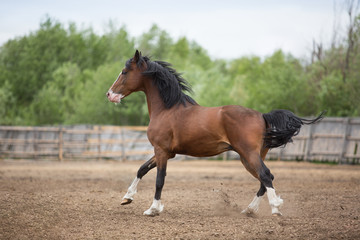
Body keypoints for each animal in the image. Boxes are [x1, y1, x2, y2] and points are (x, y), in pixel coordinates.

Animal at [106, 50, 324, 216]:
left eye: (124, 72)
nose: (109, 94)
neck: (167, 109)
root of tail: (262, 116)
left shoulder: (161, 151)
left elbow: (159, 180)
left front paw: (153, 209)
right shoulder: (167, 152)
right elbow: (142, 169)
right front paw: (127, 198)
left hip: (249, 155)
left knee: (265, 176)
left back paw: (275, 209)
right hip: (250, 157)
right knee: (266, 178)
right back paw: (249, 210)